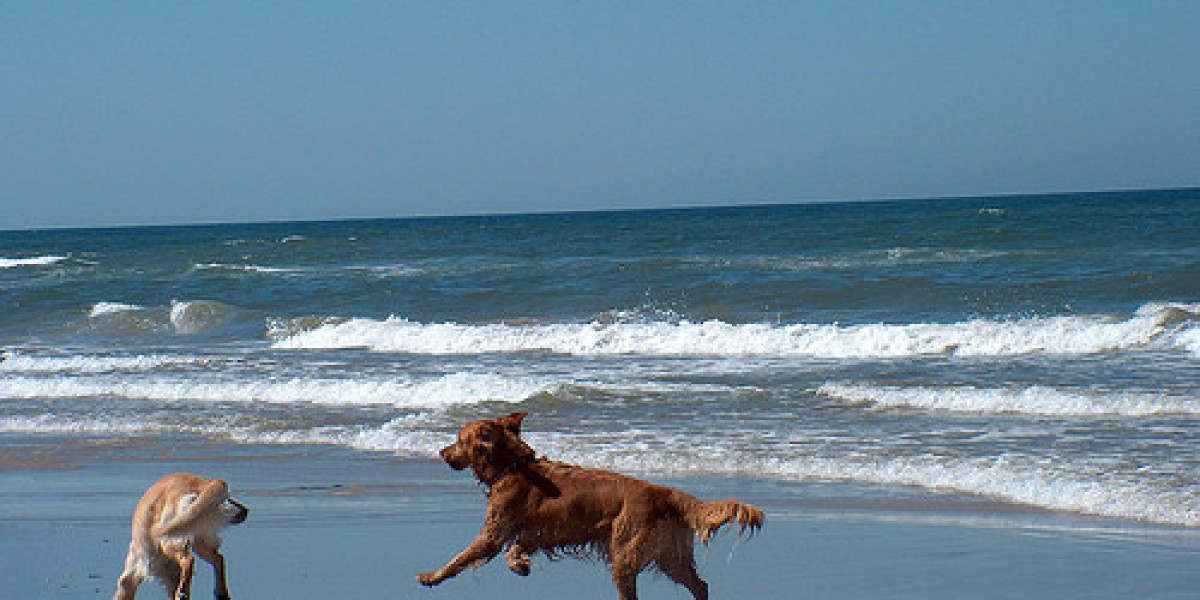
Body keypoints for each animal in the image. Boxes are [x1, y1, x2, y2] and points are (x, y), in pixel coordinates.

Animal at [114, 472, 250, 600]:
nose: (246, 510)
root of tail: (203, 483)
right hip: (199, 538)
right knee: (218, 559)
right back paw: (221, 592)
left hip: (169, 540)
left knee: (189, 560)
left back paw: (182, 593)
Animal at [417, 412, 763, 600]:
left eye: (458, 440)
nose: (441, 451)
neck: (513, 466)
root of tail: (665, 492)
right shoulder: (541, 532)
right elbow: (516, 548)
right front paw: (520, 564)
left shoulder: (493, 533)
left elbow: (460, 559)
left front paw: (431, 577)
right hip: (670, 555)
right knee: (700, 585)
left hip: (624, 552)